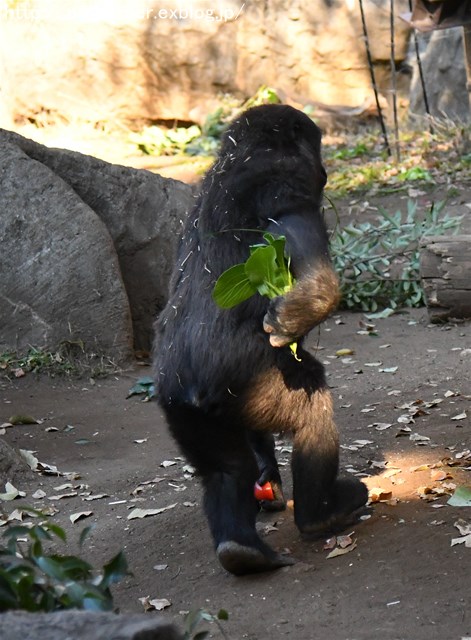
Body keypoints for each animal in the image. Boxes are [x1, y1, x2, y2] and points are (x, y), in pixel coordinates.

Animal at [155, 104, 368, 576]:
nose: (325, 170)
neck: (238, 154)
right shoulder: (287, 183)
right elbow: (310, 264)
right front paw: (306, 307)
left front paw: (266, 475)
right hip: (249, 387)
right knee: (311, 411)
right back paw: (321, 514)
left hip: (183, 411)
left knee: (224, 471)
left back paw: (242, 549)